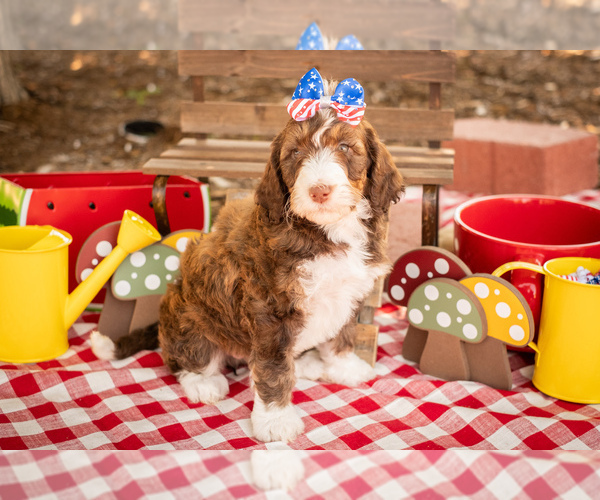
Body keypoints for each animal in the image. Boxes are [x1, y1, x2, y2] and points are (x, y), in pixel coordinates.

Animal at [91, 94, 406, 442]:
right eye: (295, 153)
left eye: (345, 148)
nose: (319, 191)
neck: (325, 230)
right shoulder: (270, 311)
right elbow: (274, 368)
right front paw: (276, 420)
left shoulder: (348, 292)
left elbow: (344, 331)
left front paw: (344, 367)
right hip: (189, 314)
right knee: (182, 356)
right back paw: (202, 381)